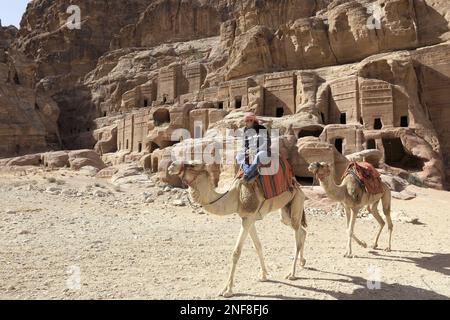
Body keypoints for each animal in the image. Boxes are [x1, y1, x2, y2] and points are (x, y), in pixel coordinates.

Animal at [167, 161, 308, 298]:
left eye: (193, 165)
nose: (171, 166)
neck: (234, 196)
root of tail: (299, 187)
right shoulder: (248, 218)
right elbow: (258, 246)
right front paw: (263, 275)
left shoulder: (248, 218)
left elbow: (236, 253)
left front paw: (228, 290)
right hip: (285, 212)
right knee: (302, 230)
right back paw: (302, 262)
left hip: (296, 202)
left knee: (297, 237)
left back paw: (292, 274)